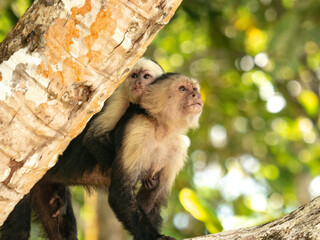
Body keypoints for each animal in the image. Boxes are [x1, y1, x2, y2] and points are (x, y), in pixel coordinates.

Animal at [0, 57, 164, 240]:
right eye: (134, 75)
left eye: (146, 76)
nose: (138, 83)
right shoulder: (119, 100)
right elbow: (93, 138)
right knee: (18, 229)